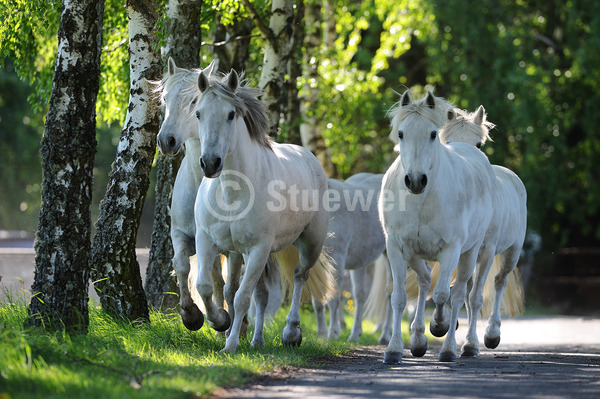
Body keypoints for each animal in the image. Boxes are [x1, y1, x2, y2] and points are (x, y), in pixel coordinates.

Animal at [190, 70, 336, 354]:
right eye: (199, 113)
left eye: (231, 114)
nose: (210, 163)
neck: (232, 194)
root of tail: (308, 157)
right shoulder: (208, 241)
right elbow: (207, 288)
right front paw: (220, 322)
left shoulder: (259, 248)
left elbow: (241, 297)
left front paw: (230, 345)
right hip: (248, 254)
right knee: (262, 294)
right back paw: (257, 341)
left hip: (309, 242)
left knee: (300, 276)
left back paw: (291, 333)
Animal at [380, 91, 496, 366]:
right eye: (401, 133)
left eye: (433, 134)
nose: (415, 181)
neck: (421, 200)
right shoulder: (396, 248)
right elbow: (399, 298)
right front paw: (393, 350)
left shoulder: (451, 249)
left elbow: (444, 295)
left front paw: (441, 329)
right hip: (415, 255)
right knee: (424, 282)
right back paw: (418, 340)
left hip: (475, 252)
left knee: (464, 295)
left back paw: (460, 345)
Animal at [438, 105, 528, 356]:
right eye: (447, 141)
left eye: (478, 144)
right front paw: (442, 324)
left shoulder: (486, 252)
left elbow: (476, 298)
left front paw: (470, 344)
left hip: (511, 252)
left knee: (498, 283)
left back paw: (491, 334)